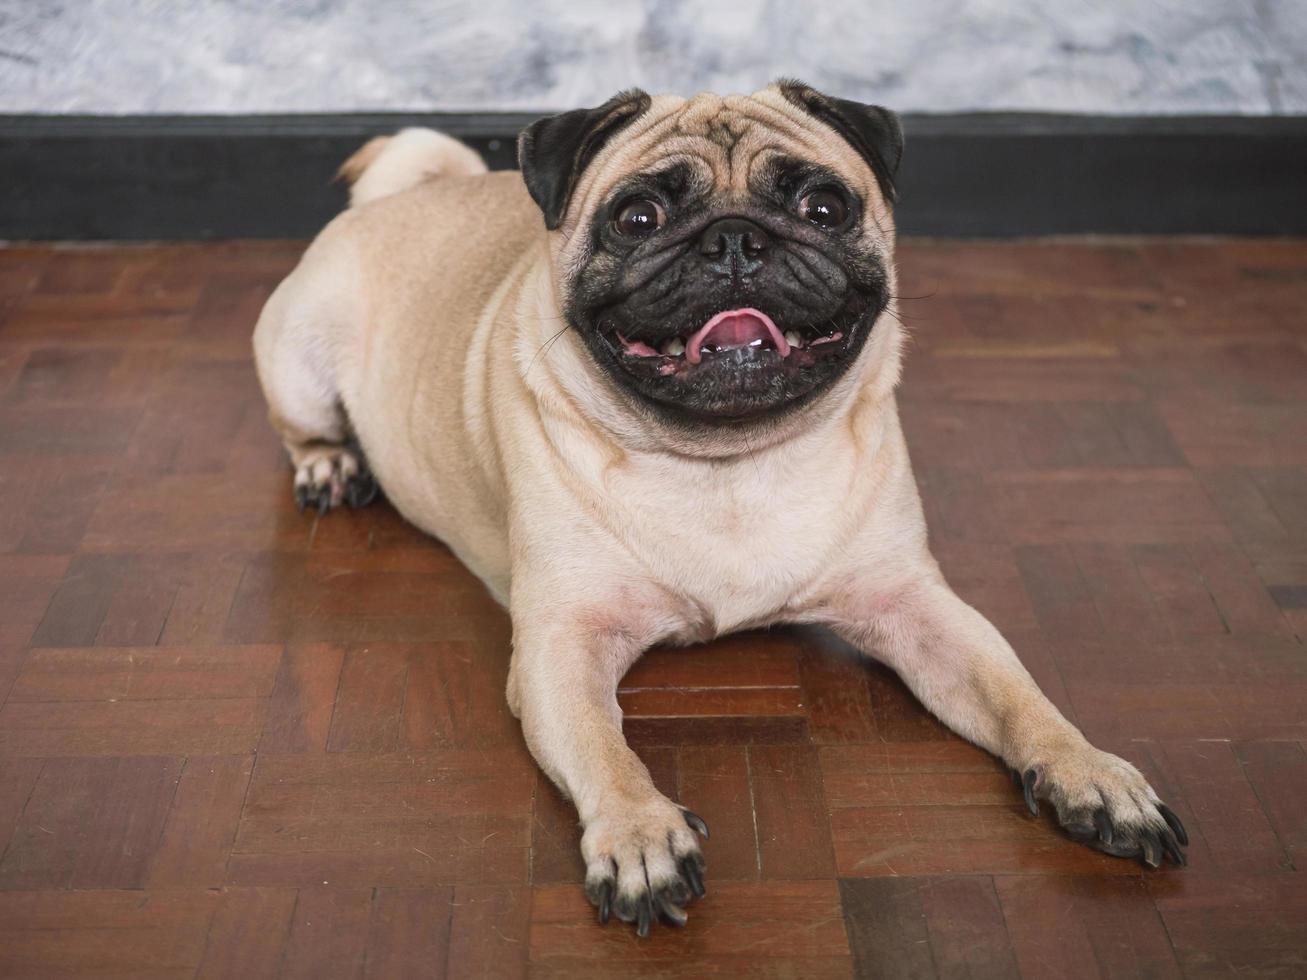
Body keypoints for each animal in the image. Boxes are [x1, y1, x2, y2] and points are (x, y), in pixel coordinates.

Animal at [249, 80, 1191, 940]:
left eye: (821, 206)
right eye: (637, 218)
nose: (735, 239)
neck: (727, 465)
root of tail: (403, 194)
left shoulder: (917, 609)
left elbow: (1017, 694)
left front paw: (1088, 772)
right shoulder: (561, 647)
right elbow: (605, 748)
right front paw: (639, 836)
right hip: (297, 360)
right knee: (303, 429)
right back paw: (331, 467)